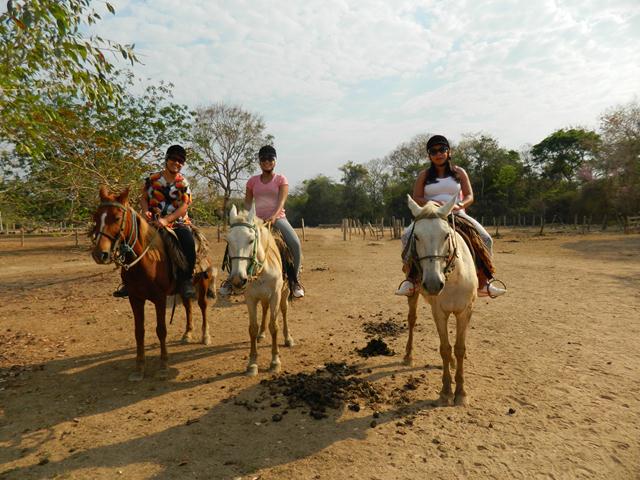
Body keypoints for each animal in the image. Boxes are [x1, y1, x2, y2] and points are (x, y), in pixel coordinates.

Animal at [89, 186, 218, 380]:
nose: (100, 254)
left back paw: (205, 336)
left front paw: (163, 366)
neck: (146, 260)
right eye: (96, 217)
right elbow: (139, 332)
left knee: (202, 306)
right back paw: (187, 333)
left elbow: (161, 330)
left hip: (203, 283)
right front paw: (139, 368)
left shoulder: (159, 298)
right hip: (183, 289)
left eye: (117, 218)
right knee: (188, 306)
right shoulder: (135, 298)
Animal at [226, 202, 294, 376]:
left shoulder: (275, 295)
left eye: (251, 240)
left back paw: (288, 338)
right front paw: (252, 363)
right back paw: (261, 334)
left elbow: (274, 326)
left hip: (284, 293)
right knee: (264, 309)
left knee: (284, 311)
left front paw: (275, 361)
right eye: (228, 240)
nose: (238, 279)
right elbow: (252, 328)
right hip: (263, 297)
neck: (262, 269)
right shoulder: (250, 298)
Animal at [404, 193, 476, 406]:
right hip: (413, 295)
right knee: (412, 320)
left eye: (446, 235)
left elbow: (459, 348)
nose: (434, 284)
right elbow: (445, 348)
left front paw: (461, 393)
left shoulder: (464, 311)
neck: (453, 278)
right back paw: (408, 356)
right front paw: (446, 391)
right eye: (416, 236)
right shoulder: (439, 312)